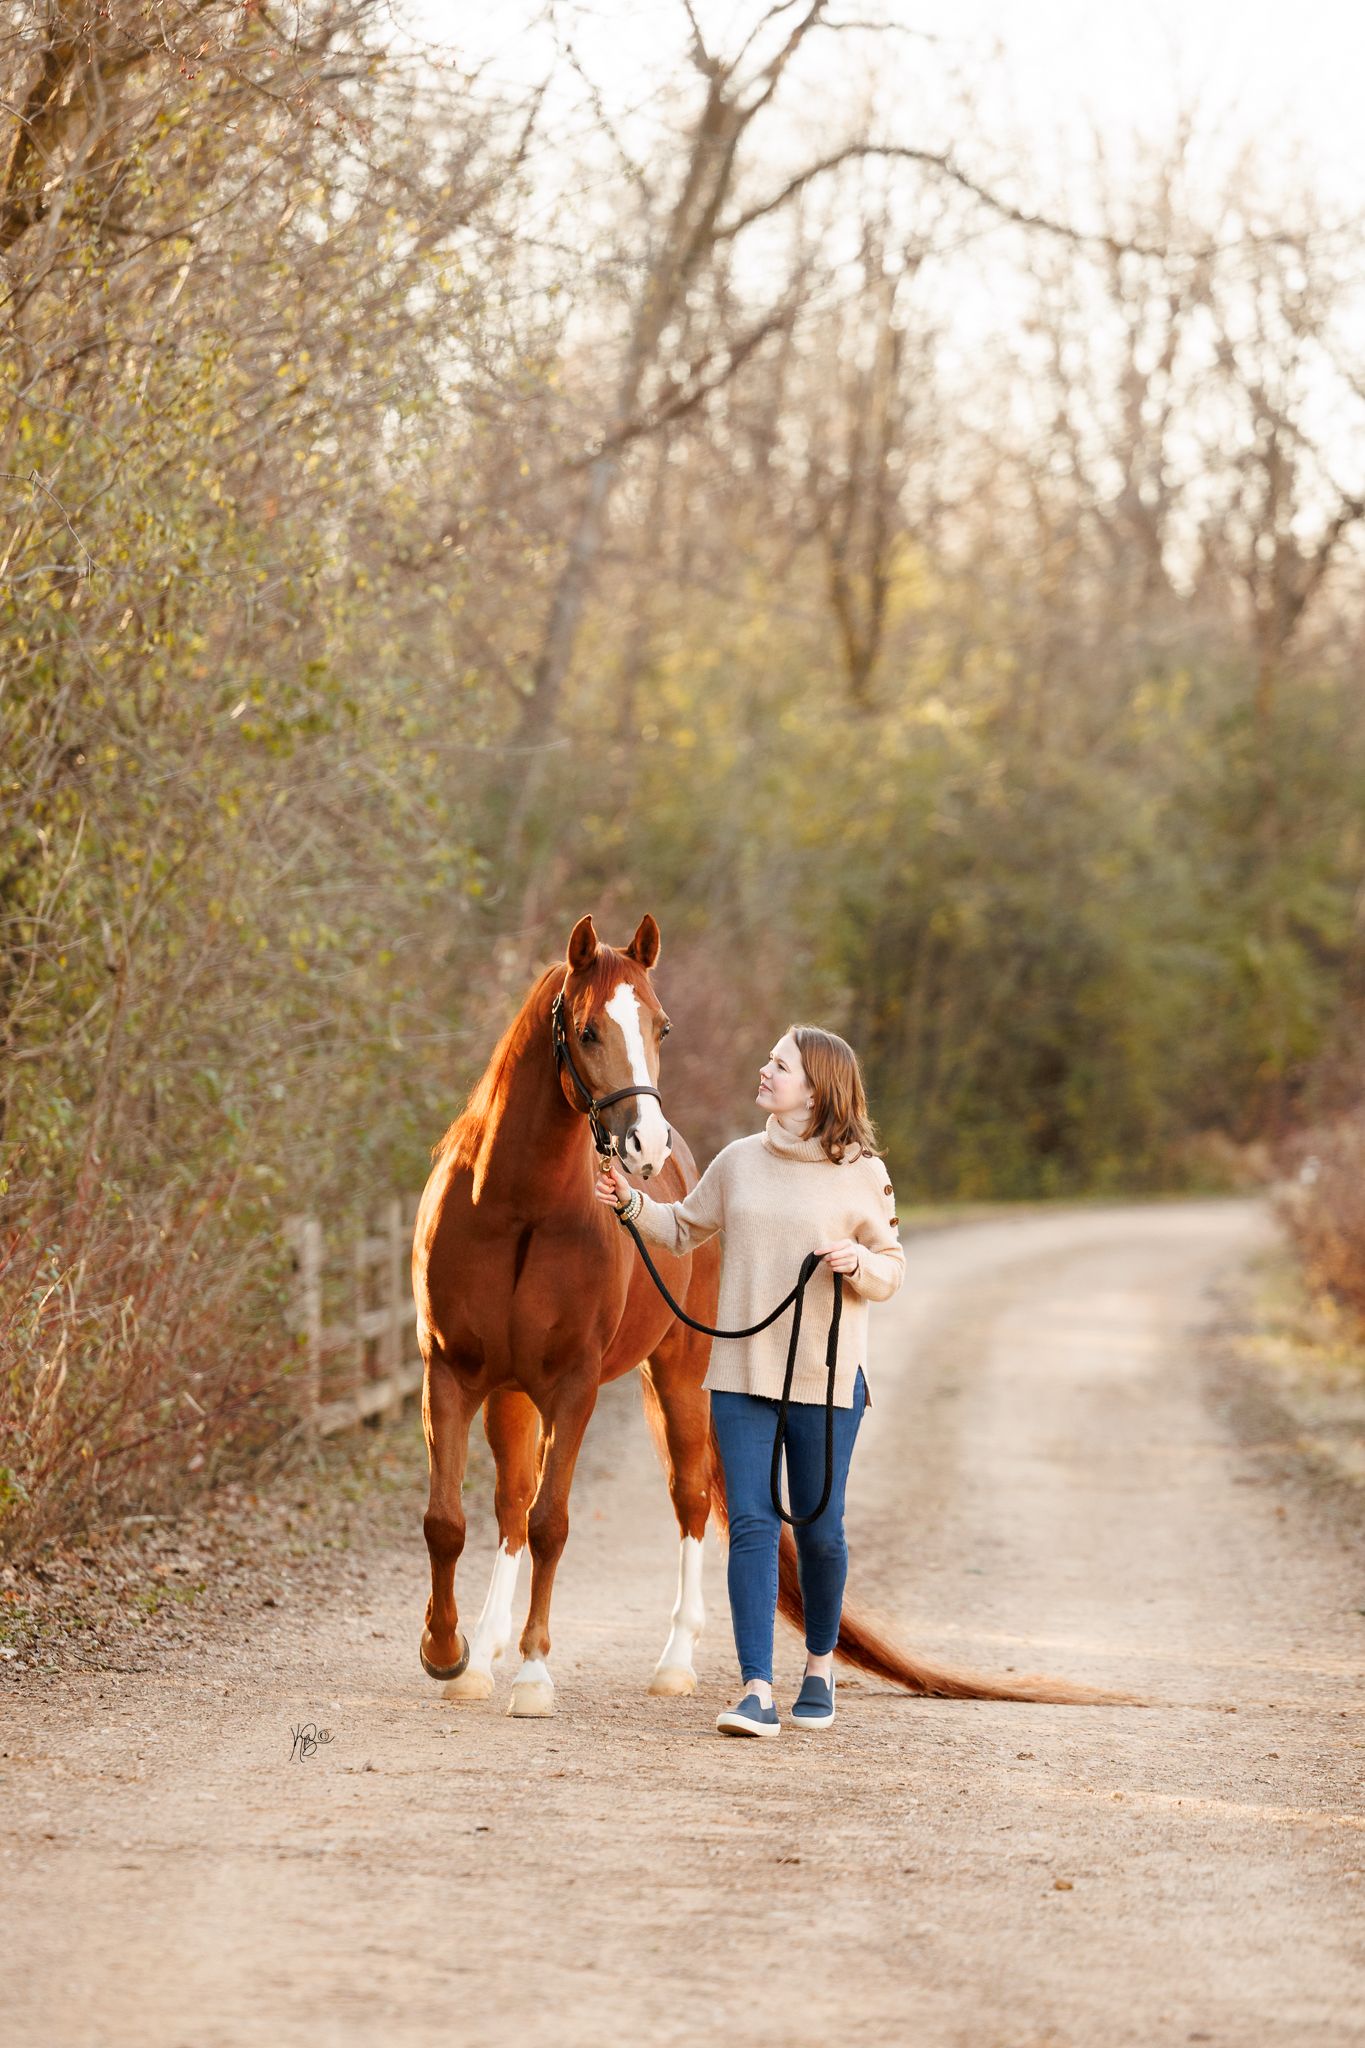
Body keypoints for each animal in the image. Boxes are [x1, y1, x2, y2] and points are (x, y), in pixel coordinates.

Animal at [412, 911, 1139, 1717]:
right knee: (510, 1506)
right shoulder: (451, 1370)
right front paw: (447, 1652)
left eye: (662, 1027)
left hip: (676, 1378)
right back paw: (485, 1654)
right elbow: (450, 1521)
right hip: (514, 1393)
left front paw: (535, 1675)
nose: (642, 1146)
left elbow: (553, 1523)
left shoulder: (573, 1386)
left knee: (688, 1500)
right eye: (589, 1029)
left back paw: (673, 1663)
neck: (517, 1208)